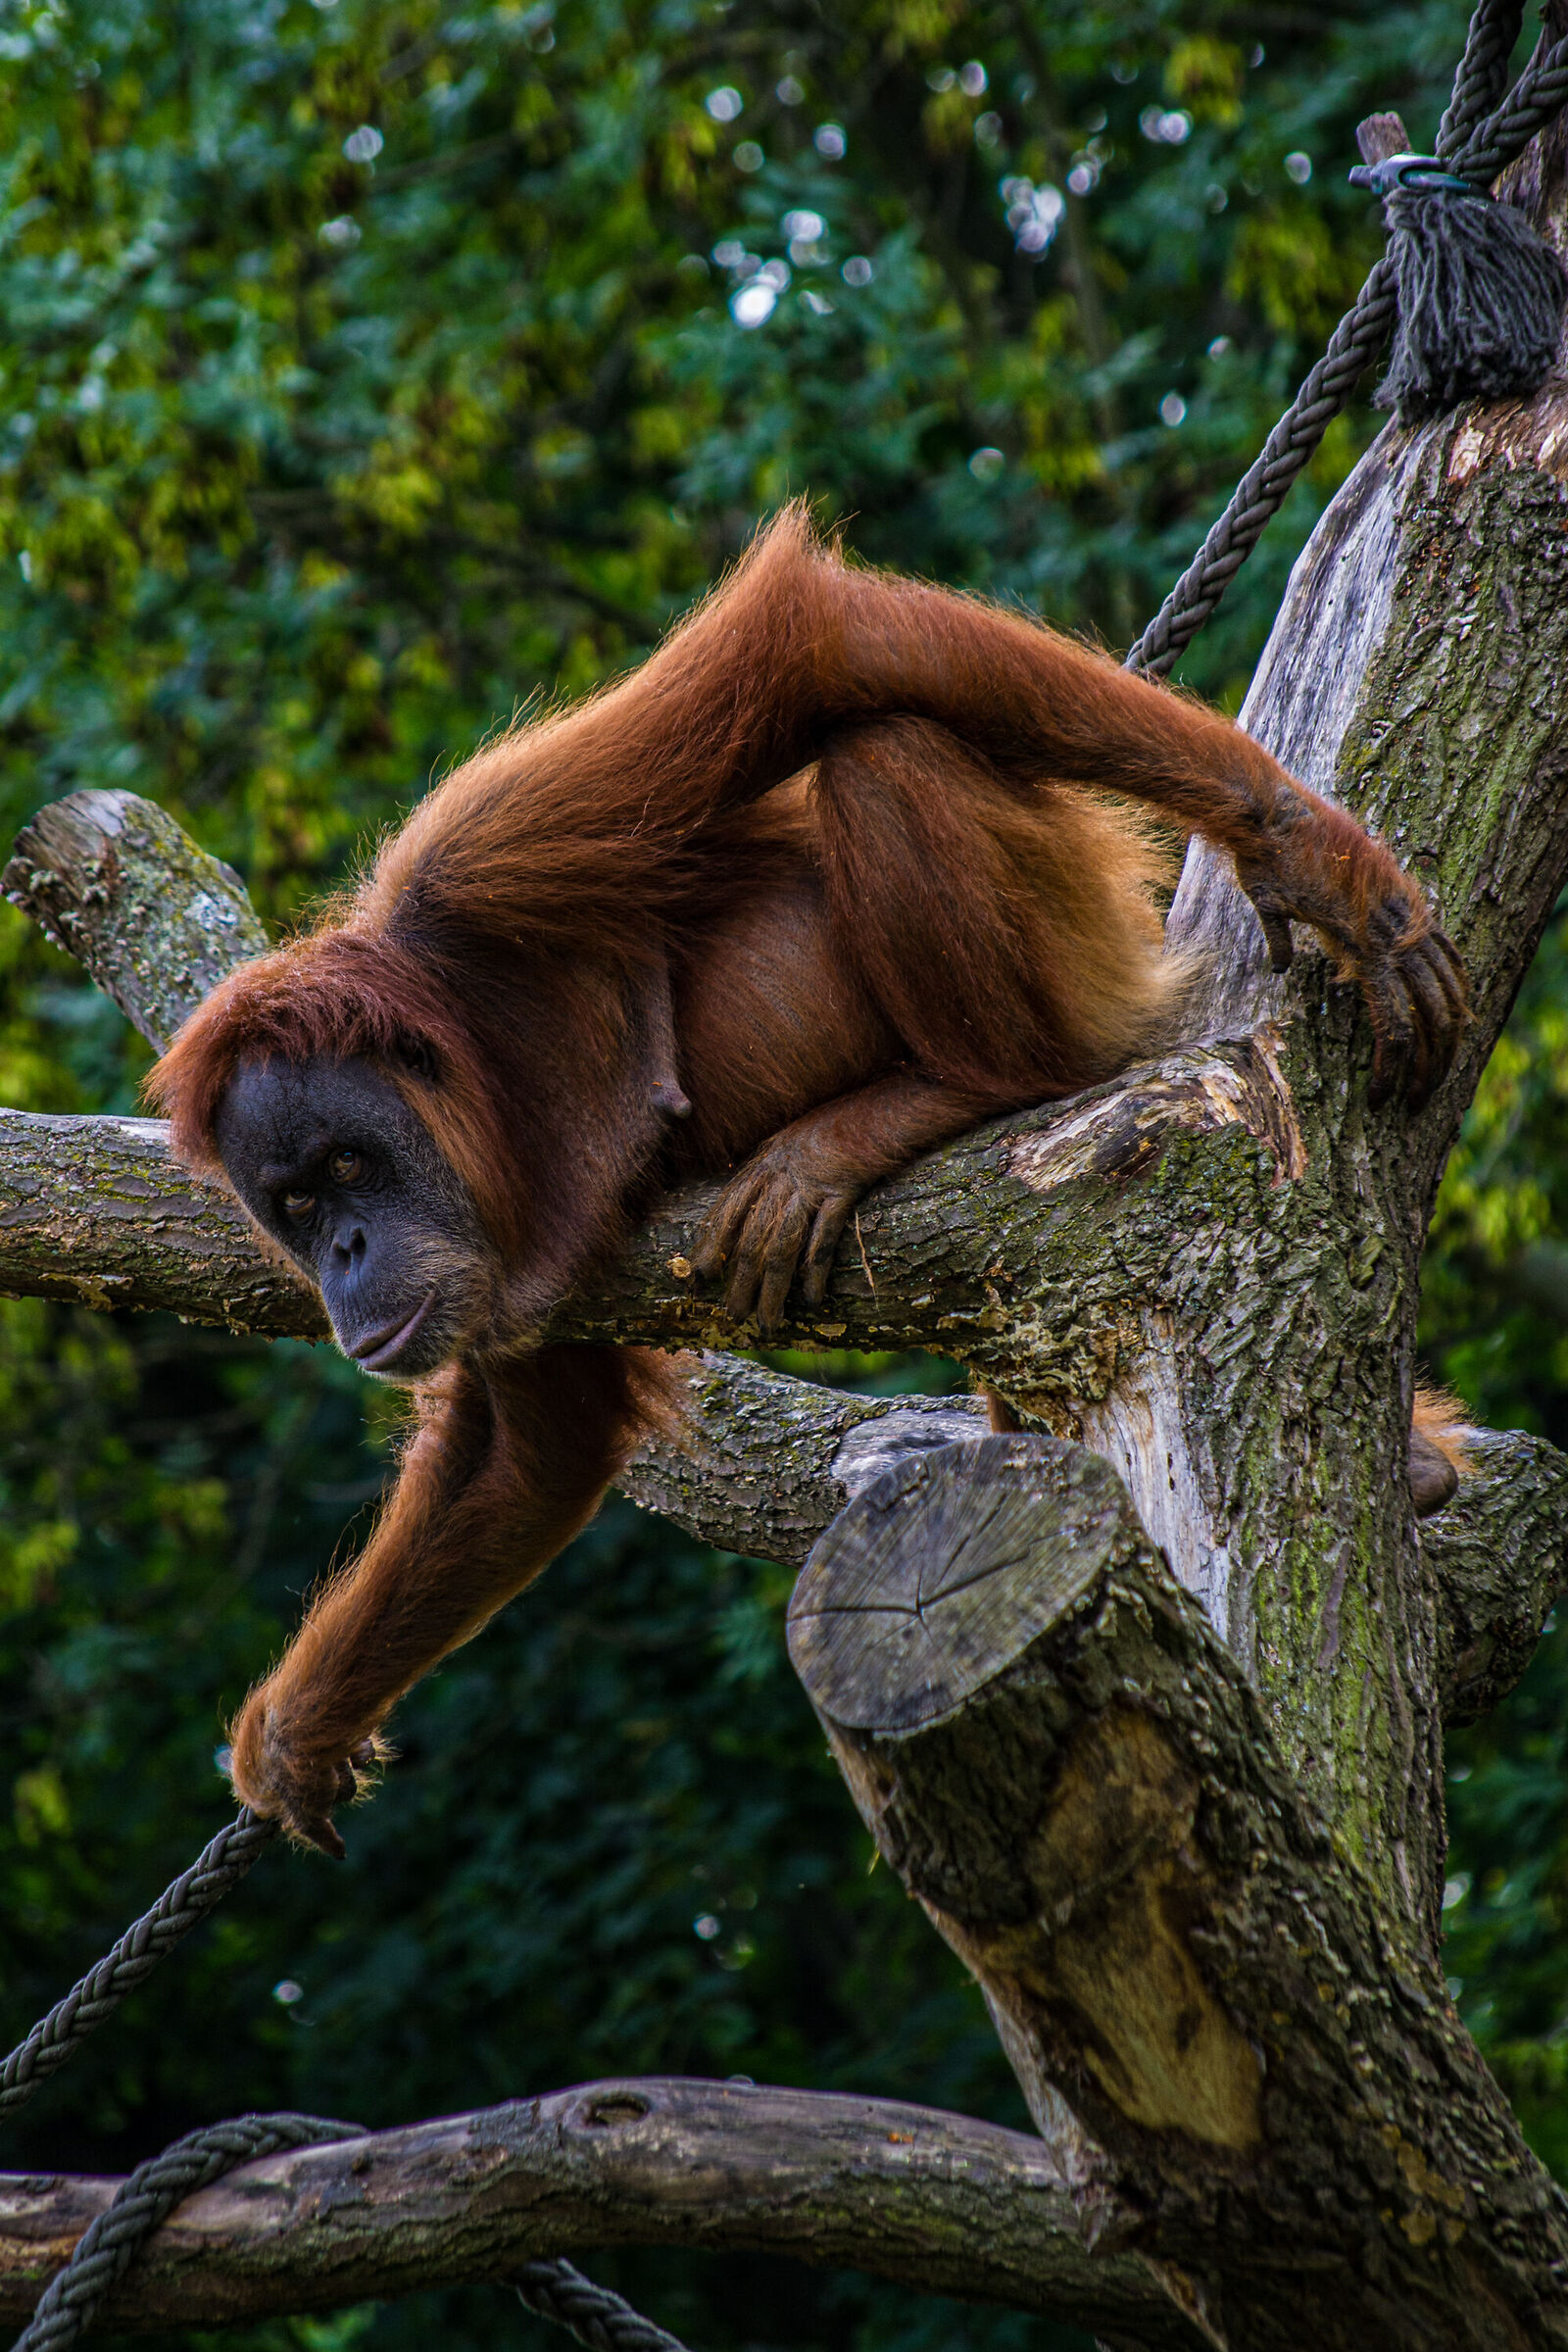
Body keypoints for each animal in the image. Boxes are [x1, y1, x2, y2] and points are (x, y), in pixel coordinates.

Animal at [148, 508, 1467, 1852]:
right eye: (298, 1204)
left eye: (346, 1164)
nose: (346, 1253)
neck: (483, 1050)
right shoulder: (492, 1251)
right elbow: (533, 1450)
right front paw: (300, 1730)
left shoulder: (487, 854)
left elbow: (813, 649)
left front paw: (1318, 864)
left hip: (1074, 956)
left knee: (884, 747)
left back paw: (962, 1088)